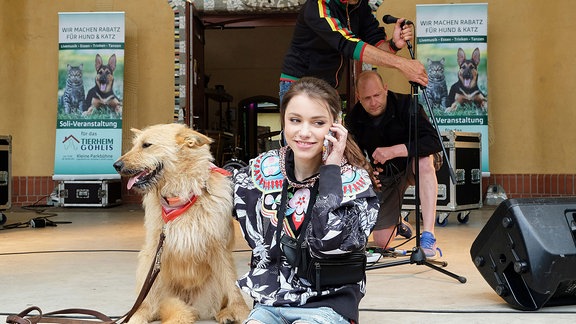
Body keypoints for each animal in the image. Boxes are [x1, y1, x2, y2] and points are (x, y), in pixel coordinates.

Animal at [113, 124, 250, 324]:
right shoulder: (154, 249)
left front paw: (241, 312)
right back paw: (139, 315)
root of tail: (188, 301)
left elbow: (232, 285)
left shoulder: (219, 247)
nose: (116, 165)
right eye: (135, 145)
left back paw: (225, 313)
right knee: (150, 302)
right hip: (147, 266)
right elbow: (146, 296)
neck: (180, 193)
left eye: (146, 145)